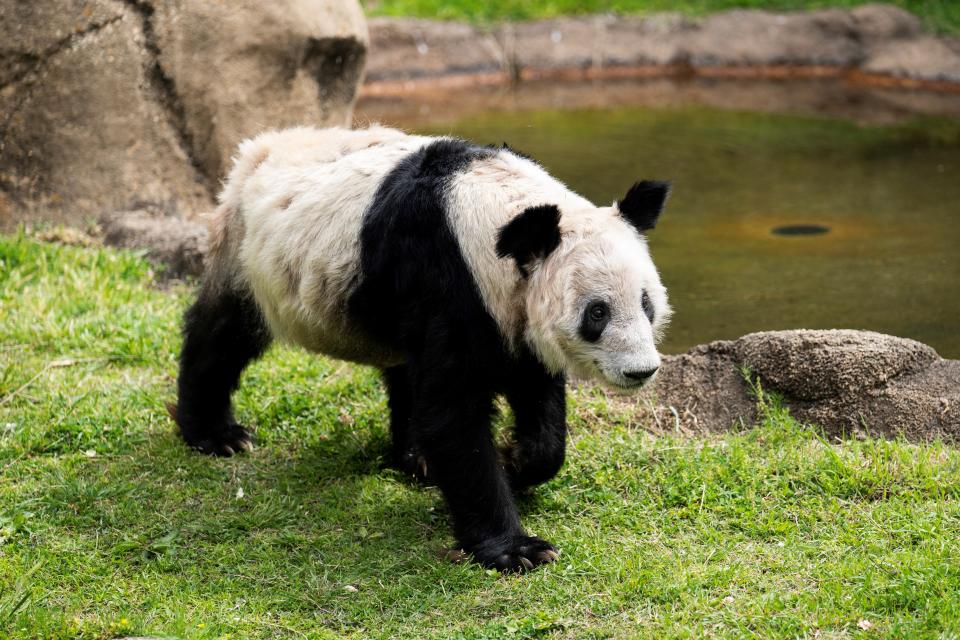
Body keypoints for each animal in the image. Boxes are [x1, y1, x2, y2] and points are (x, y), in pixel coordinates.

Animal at [172, 124, 672, 568]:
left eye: (645, 302)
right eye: (597, 313)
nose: (641, 371)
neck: (491, 210)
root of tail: (260, 146)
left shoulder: (507, 308)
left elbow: (535, 393)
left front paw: (517, 461)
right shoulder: (445, 275)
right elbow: (453, 414)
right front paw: (516, 549)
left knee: (407, 371)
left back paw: (416, 459)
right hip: (246, 250)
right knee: (224, 333)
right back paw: (216, 434)